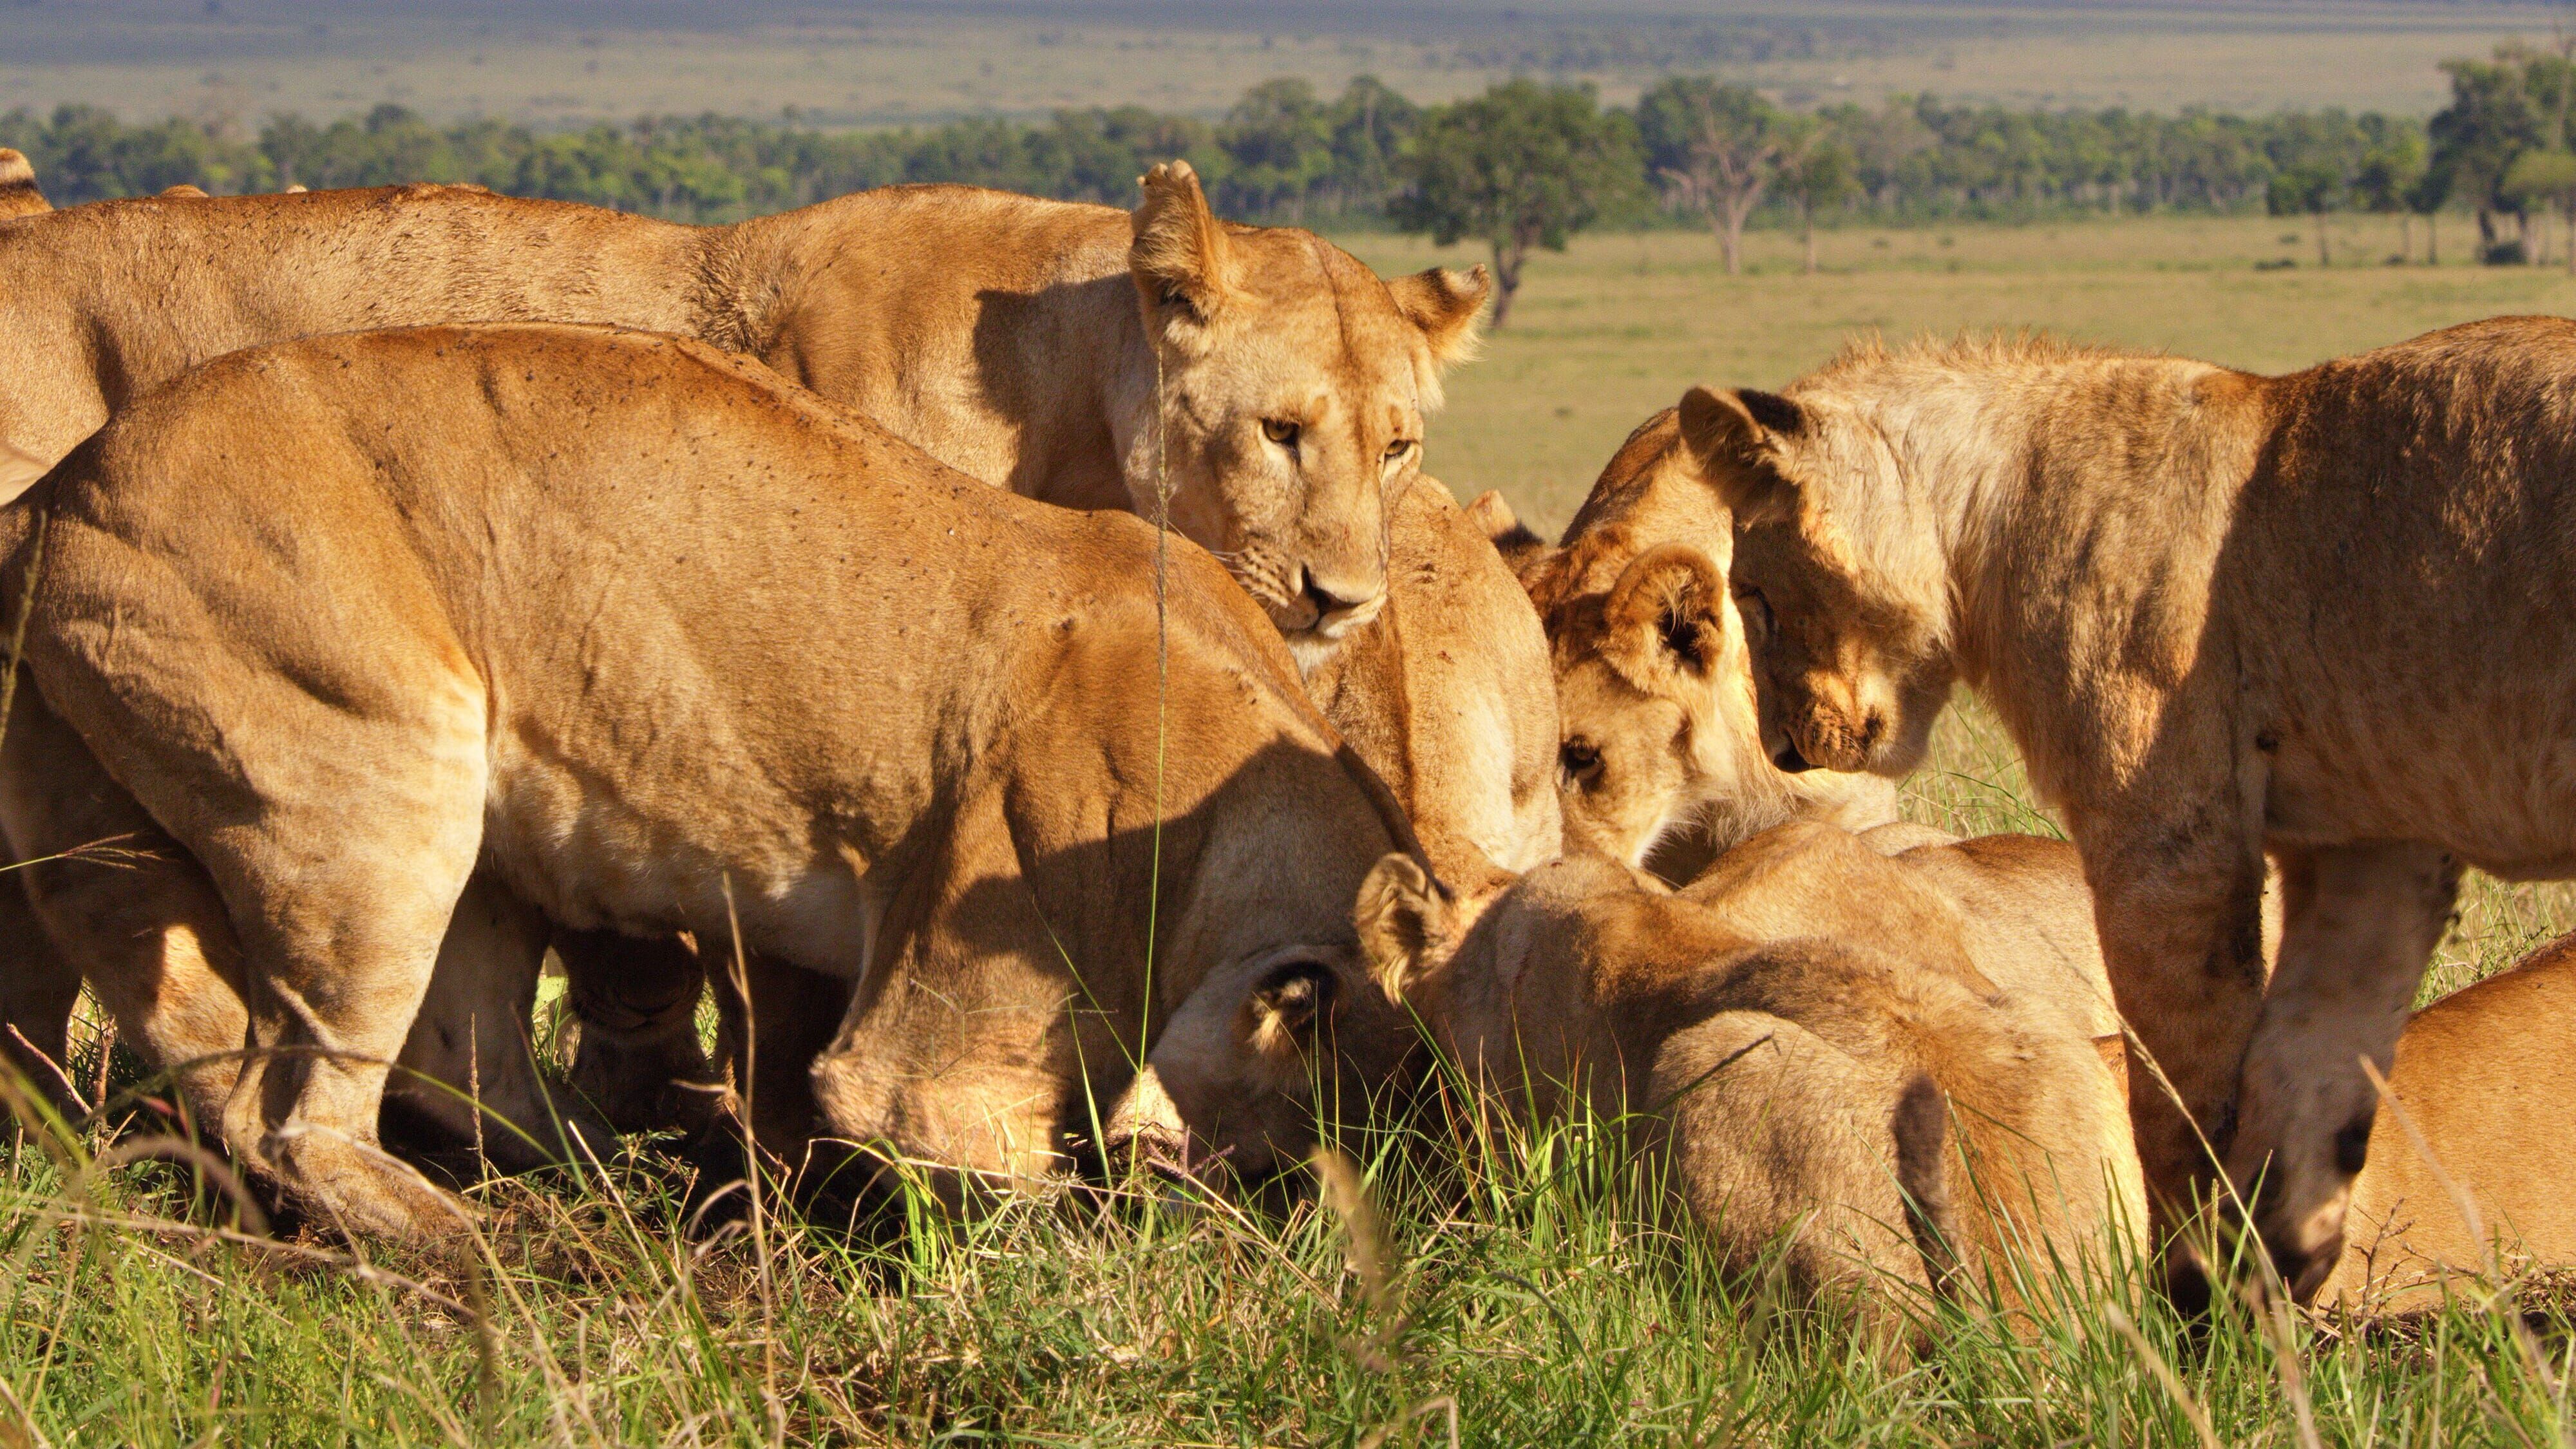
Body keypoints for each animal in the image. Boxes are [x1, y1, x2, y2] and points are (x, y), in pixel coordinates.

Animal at [0, 321, 1412, 1237]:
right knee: (298, 1111)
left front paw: (767, 1182)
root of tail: (54, 490)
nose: (1278, 1214)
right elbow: (990, 1169)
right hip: (373, 776)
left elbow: (782, 1058)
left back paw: (602, 1181)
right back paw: (471, 1246)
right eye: (1291, 1146)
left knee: (406, 1056)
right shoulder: (942, 1038)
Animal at [1680, 316, 2576, 1283]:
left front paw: (2187, 1296)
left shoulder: (2169, 834)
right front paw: (2268, 1303)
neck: (1987, 508)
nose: (1783, 749)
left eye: (1754, 592)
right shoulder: (2373, 845)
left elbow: (2183, 1104)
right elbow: (2310, 1087)